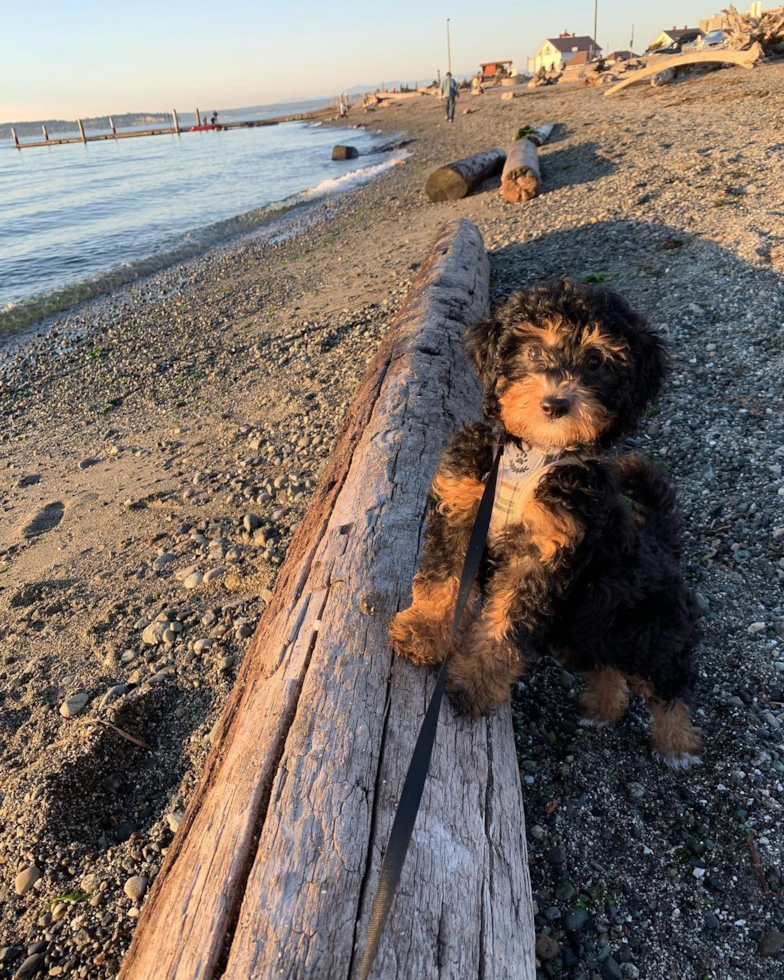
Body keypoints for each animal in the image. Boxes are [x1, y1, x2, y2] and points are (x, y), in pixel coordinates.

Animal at [392, 276, 704, 764]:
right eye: (535, 351)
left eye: (596, 360)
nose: (555, 404)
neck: (532, 455)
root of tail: (662, 545)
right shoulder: (464, 507)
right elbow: (443, 579)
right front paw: (424, 632)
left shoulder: (543, 557)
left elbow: (505, 627)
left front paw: (472, 684)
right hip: (581, 626)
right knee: (606, 665)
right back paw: (602, 707)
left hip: (647, 631)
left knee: (670, 679)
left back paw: (678, 743)